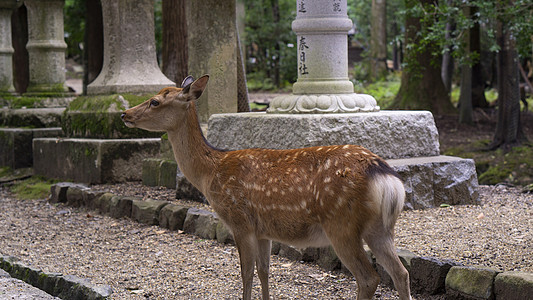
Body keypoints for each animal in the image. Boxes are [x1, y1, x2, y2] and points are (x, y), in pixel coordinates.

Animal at [121, 75, 412, 300]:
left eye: (155, 101)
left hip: (341, 223)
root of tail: (386, 177)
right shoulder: (263, 230)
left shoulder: (240, 221)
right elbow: (264, 271)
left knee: (369, 278)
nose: (125, 114)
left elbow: (245, 272)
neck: (210, 172)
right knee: (401, 272)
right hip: (380, 228)